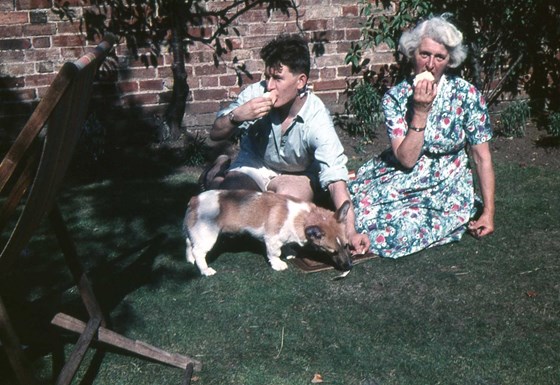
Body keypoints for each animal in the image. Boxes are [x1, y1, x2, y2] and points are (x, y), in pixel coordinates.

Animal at [182, 190, 352, 276]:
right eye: (332, 251)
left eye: (346, 246)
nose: (349, 266)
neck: (304, 217)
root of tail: (195, 199)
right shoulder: (272, 239)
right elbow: (274, 253)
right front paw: (278, 264)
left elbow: (287, 245)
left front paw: (290, 252)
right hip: (207, 237)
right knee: (198, 252)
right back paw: (205, 270)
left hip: (196, 234)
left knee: (189, 243)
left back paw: (190, 260)